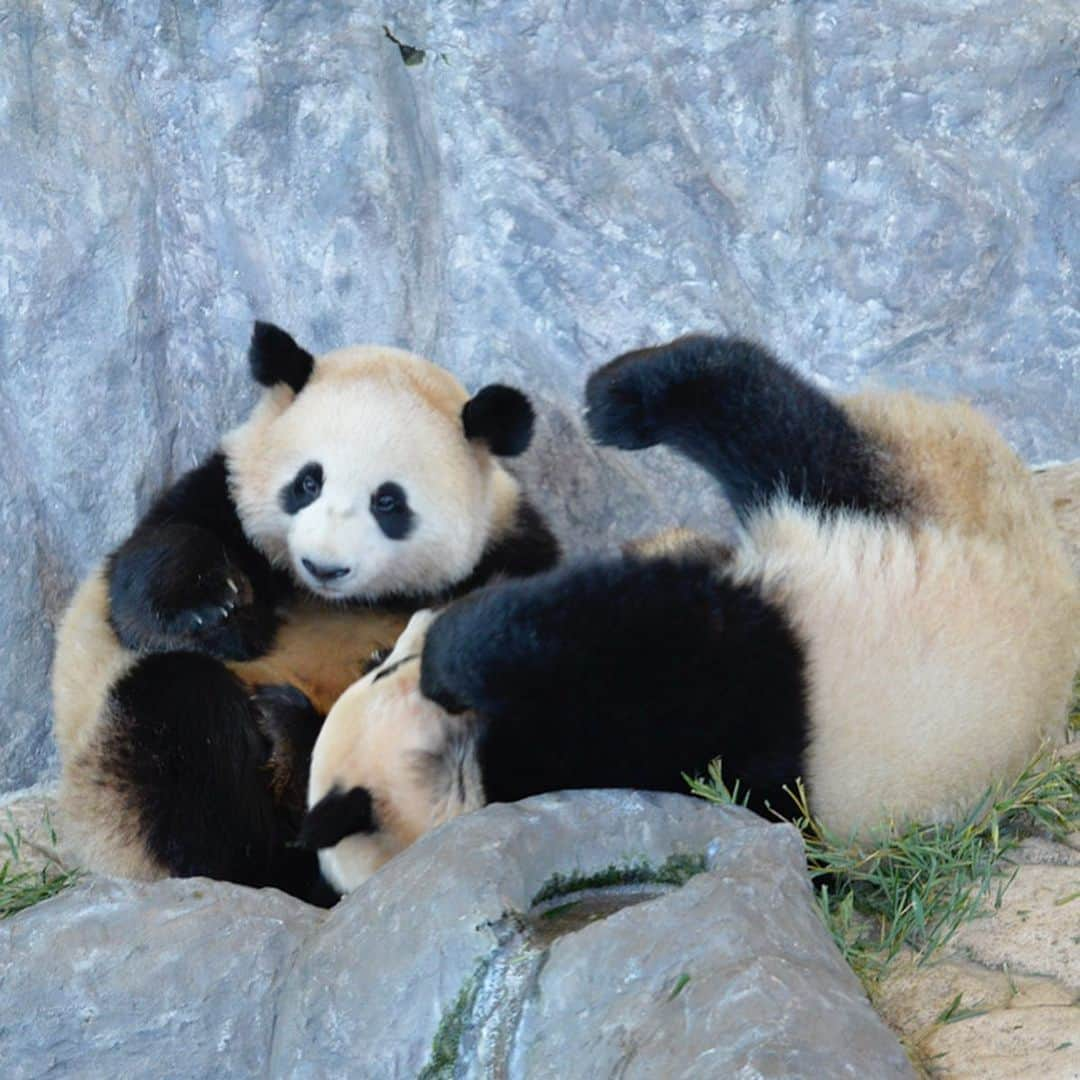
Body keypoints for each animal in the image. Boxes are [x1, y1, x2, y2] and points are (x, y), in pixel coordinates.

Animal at [50, 319, 557, 902]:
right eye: (308, 482)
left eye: (388, 501)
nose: (323, 565)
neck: (344, 601)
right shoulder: (223, 494)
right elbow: (151, 565)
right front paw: (215, 613)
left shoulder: (510, 544)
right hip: (111, 773)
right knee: (182, 722)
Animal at [298, 332, 1080, 889]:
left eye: (376, 670)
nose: (412, 634)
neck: (471, 786)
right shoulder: (664, 747)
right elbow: (645, 635)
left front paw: (454, 647)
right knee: (787, 439)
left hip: (893, 522)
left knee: (788, 434)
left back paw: (626, 395)